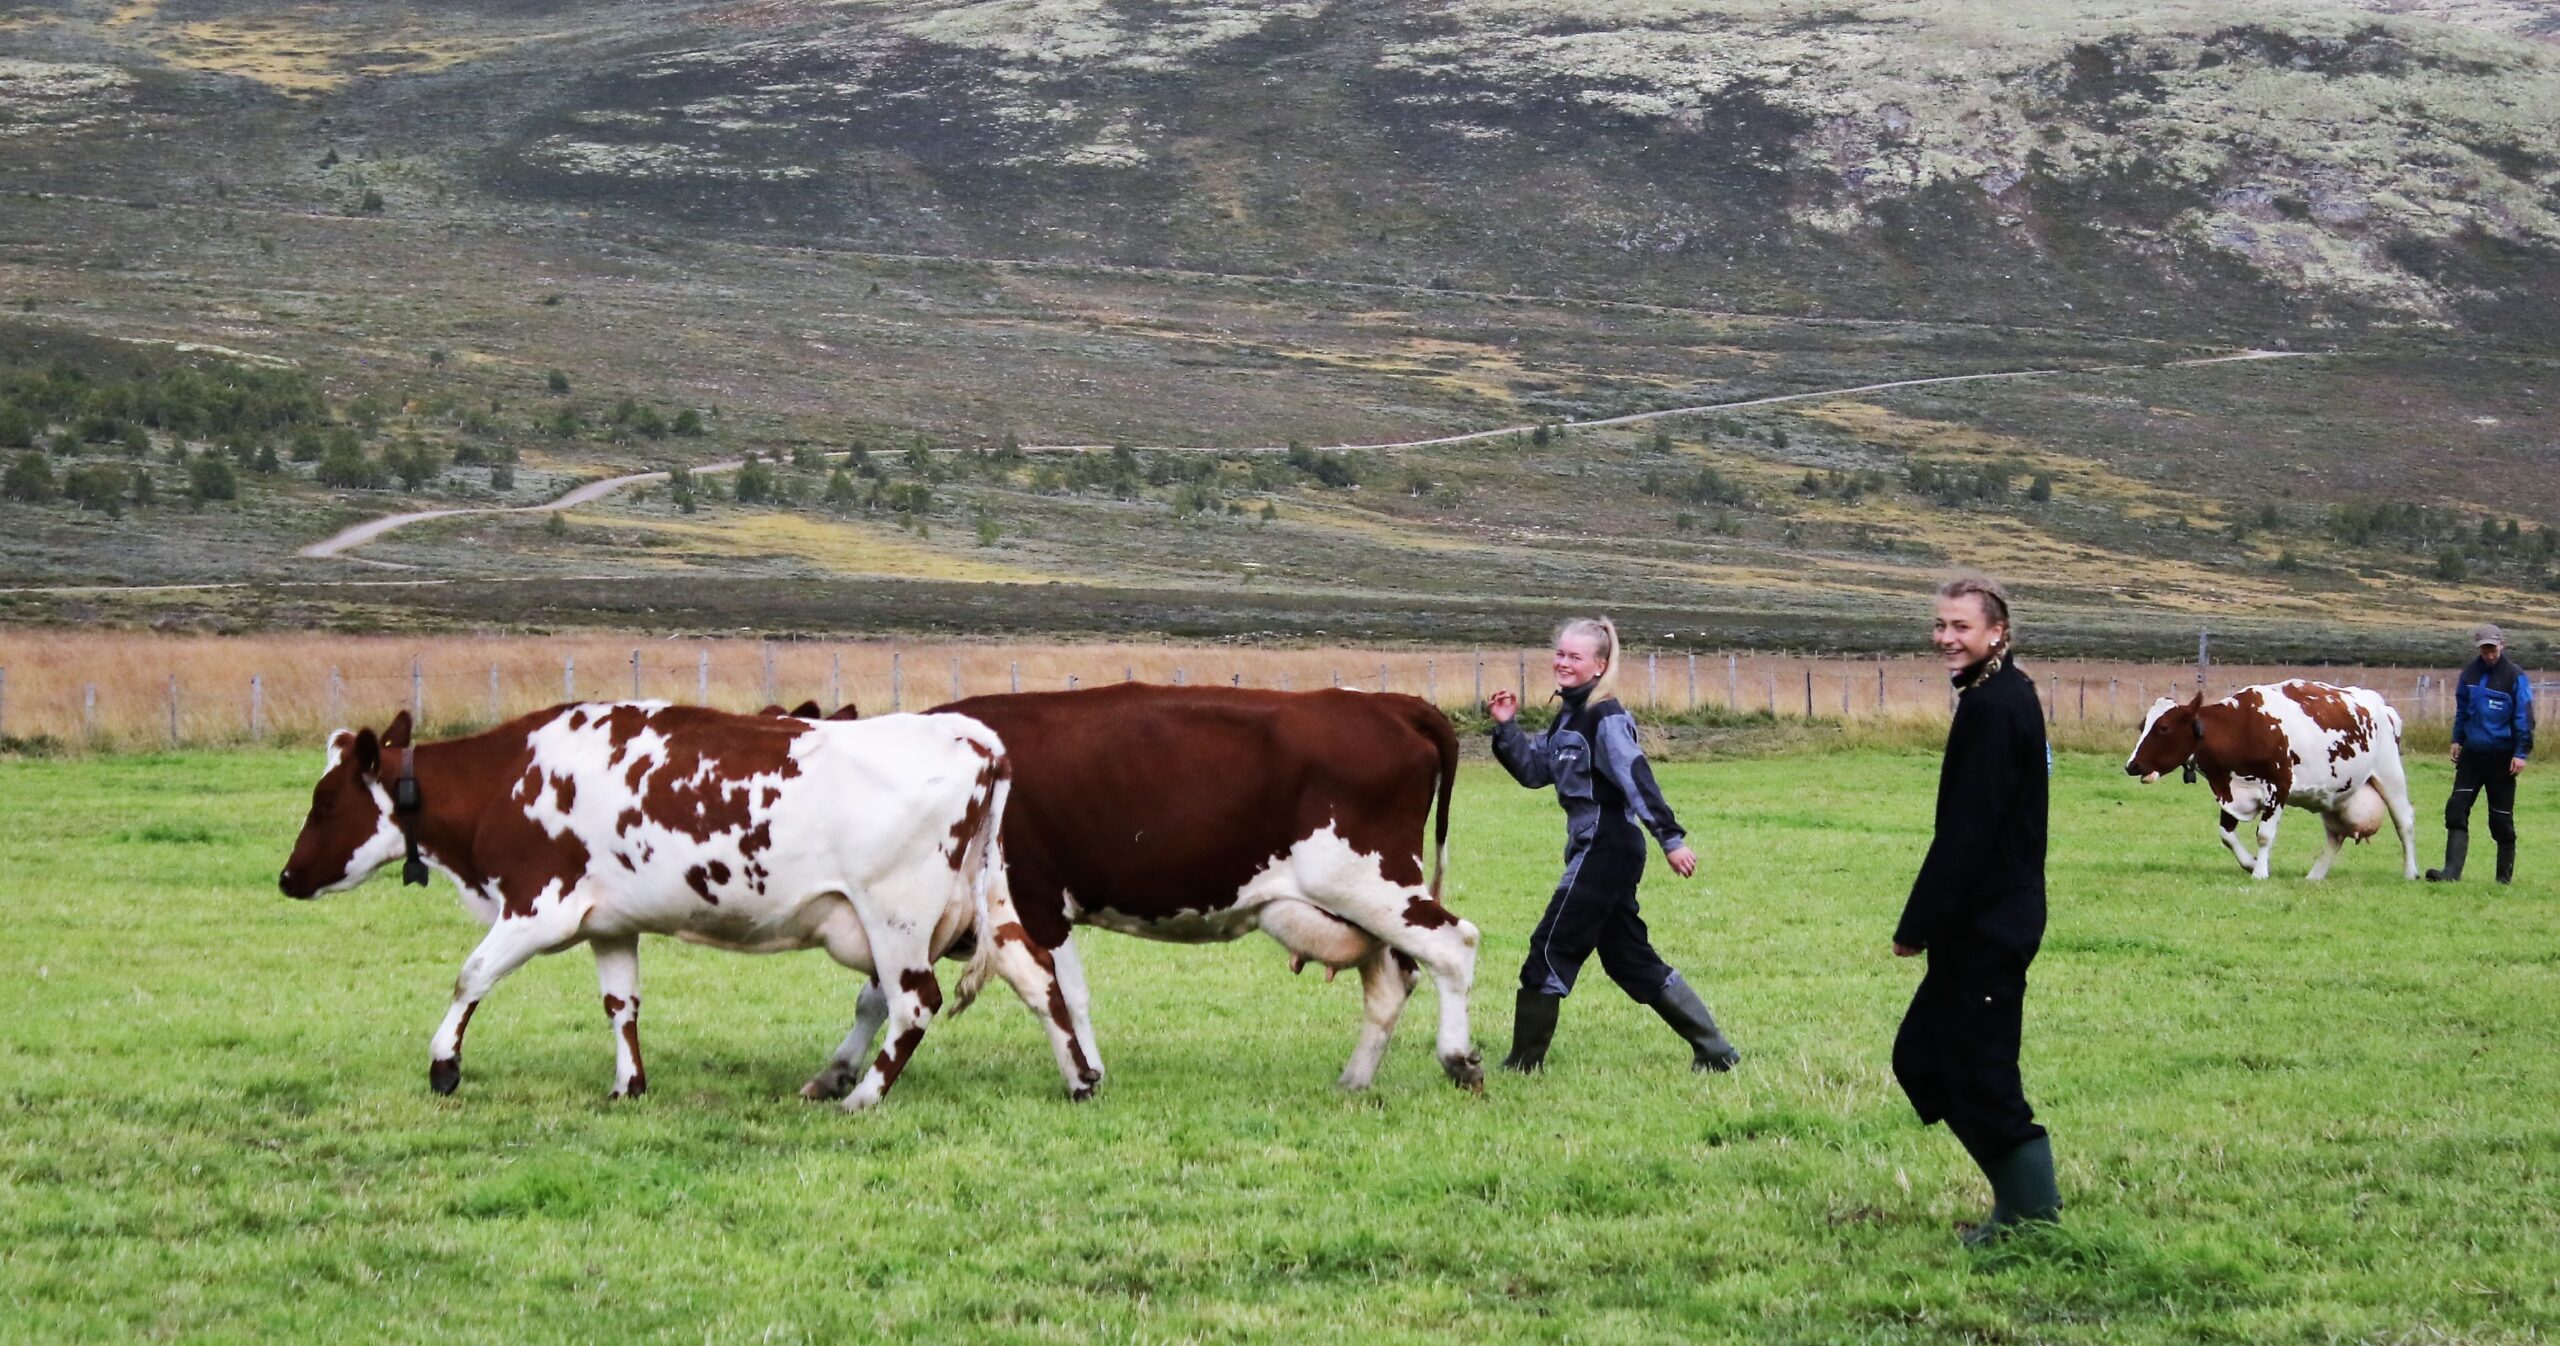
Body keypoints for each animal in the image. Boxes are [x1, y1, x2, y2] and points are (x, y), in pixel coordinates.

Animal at [275, 701, 1075, 1115]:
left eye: (325, 800)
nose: (285, 877)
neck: (510, 777)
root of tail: (975, 737)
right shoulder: (609, 923)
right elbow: (620, 1004)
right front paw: (628, 1083)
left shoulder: (540, 904)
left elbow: (471, 975)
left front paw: (445, 1067)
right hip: (985, 906)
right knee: (1038, 978)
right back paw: (1080, 1078)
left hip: (898, 921)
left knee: (914, 1005)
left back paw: (862, 1097)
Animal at [819, 685, 1484, 1095]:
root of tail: (1389, 704)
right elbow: (876, 997)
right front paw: (838, 1071)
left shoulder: (1032, 903)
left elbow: (1063, 994)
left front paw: (1086, 1071)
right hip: (1361, 903)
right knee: (1392, 979)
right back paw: (1355, 1079)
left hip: (1370, 883)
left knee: (1454, 944)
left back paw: (1457, 1058)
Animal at [2119, 680, 2416, 880]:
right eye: (2142, 725)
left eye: (2163, 728)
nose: (2132, 765)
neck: (2242, 727)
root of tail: (2381, 705)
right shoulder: (2230, 790)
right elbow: (2226, 834)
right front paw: (2249, 862)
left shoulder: (2279, 787)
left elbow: (2264, 834)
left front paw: (2259, 871)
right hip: (2333, 795)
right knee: (2336, 836)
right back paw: (2315, 875)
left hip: (2390, 776)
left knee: (2404, 823)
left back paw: (2410, 871)